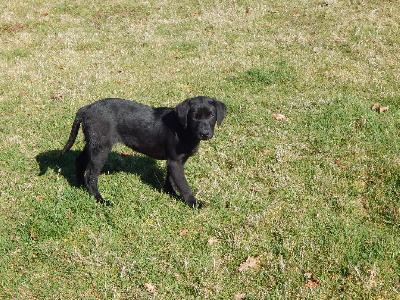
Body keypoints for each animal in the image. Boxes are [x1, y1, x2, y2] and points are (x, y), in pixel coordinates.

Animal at [59, 96, 228, 209]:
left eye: (211, 115)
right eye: (194, 117)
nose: (205, 133)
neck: (184, 128)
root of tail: (86, 108)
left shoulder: (173, 161)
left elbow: (171, 179)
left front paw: (170, 194)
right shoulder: (175, 162)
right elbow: (183, 184)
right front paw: (193, 203)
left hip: (93, 143)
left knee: (79, 161)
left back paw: (80, 185)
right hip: (101, 148)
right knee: (91, 176)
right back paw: (100, 199)